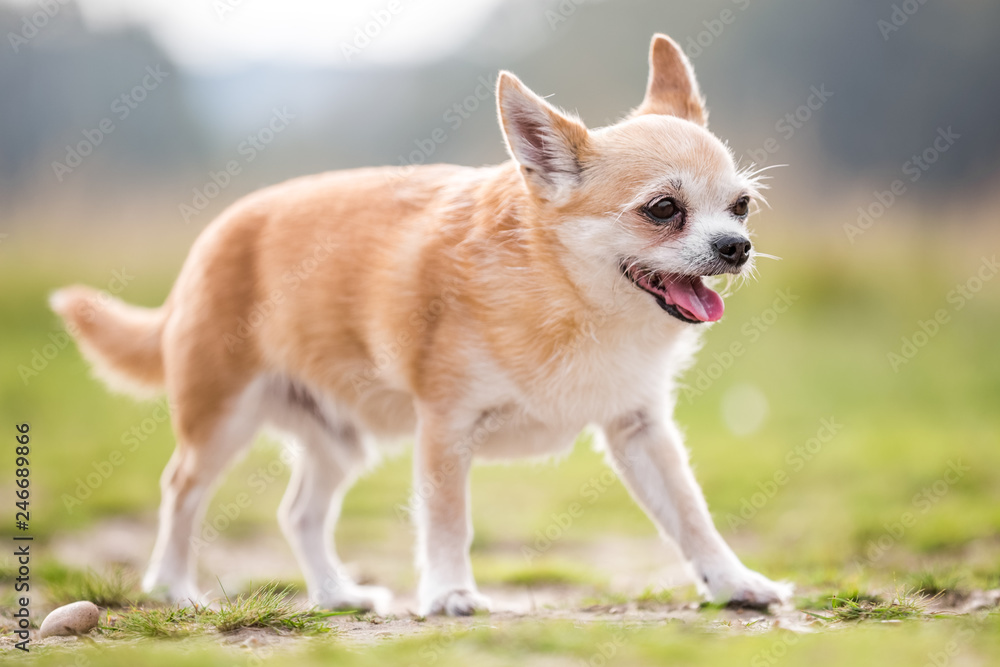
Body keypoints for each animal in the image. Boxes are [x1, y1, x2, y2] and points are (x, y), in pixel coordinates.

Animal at [52, 32, 788, 616]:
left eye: (741, 206)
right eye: (663, 209)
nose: (736, 247)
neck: (570, 299)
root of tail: (212, 236)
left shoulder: (641, 432)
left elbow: (691, 516)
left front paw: (733, 582)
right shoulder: (445, 429)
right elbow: (448, 520)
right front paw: (450, 593)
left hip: (340, 440)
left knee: (299, 513)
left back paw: (336, 595)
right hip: (222, 423)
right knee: (180, 491)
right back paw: (174, 587)